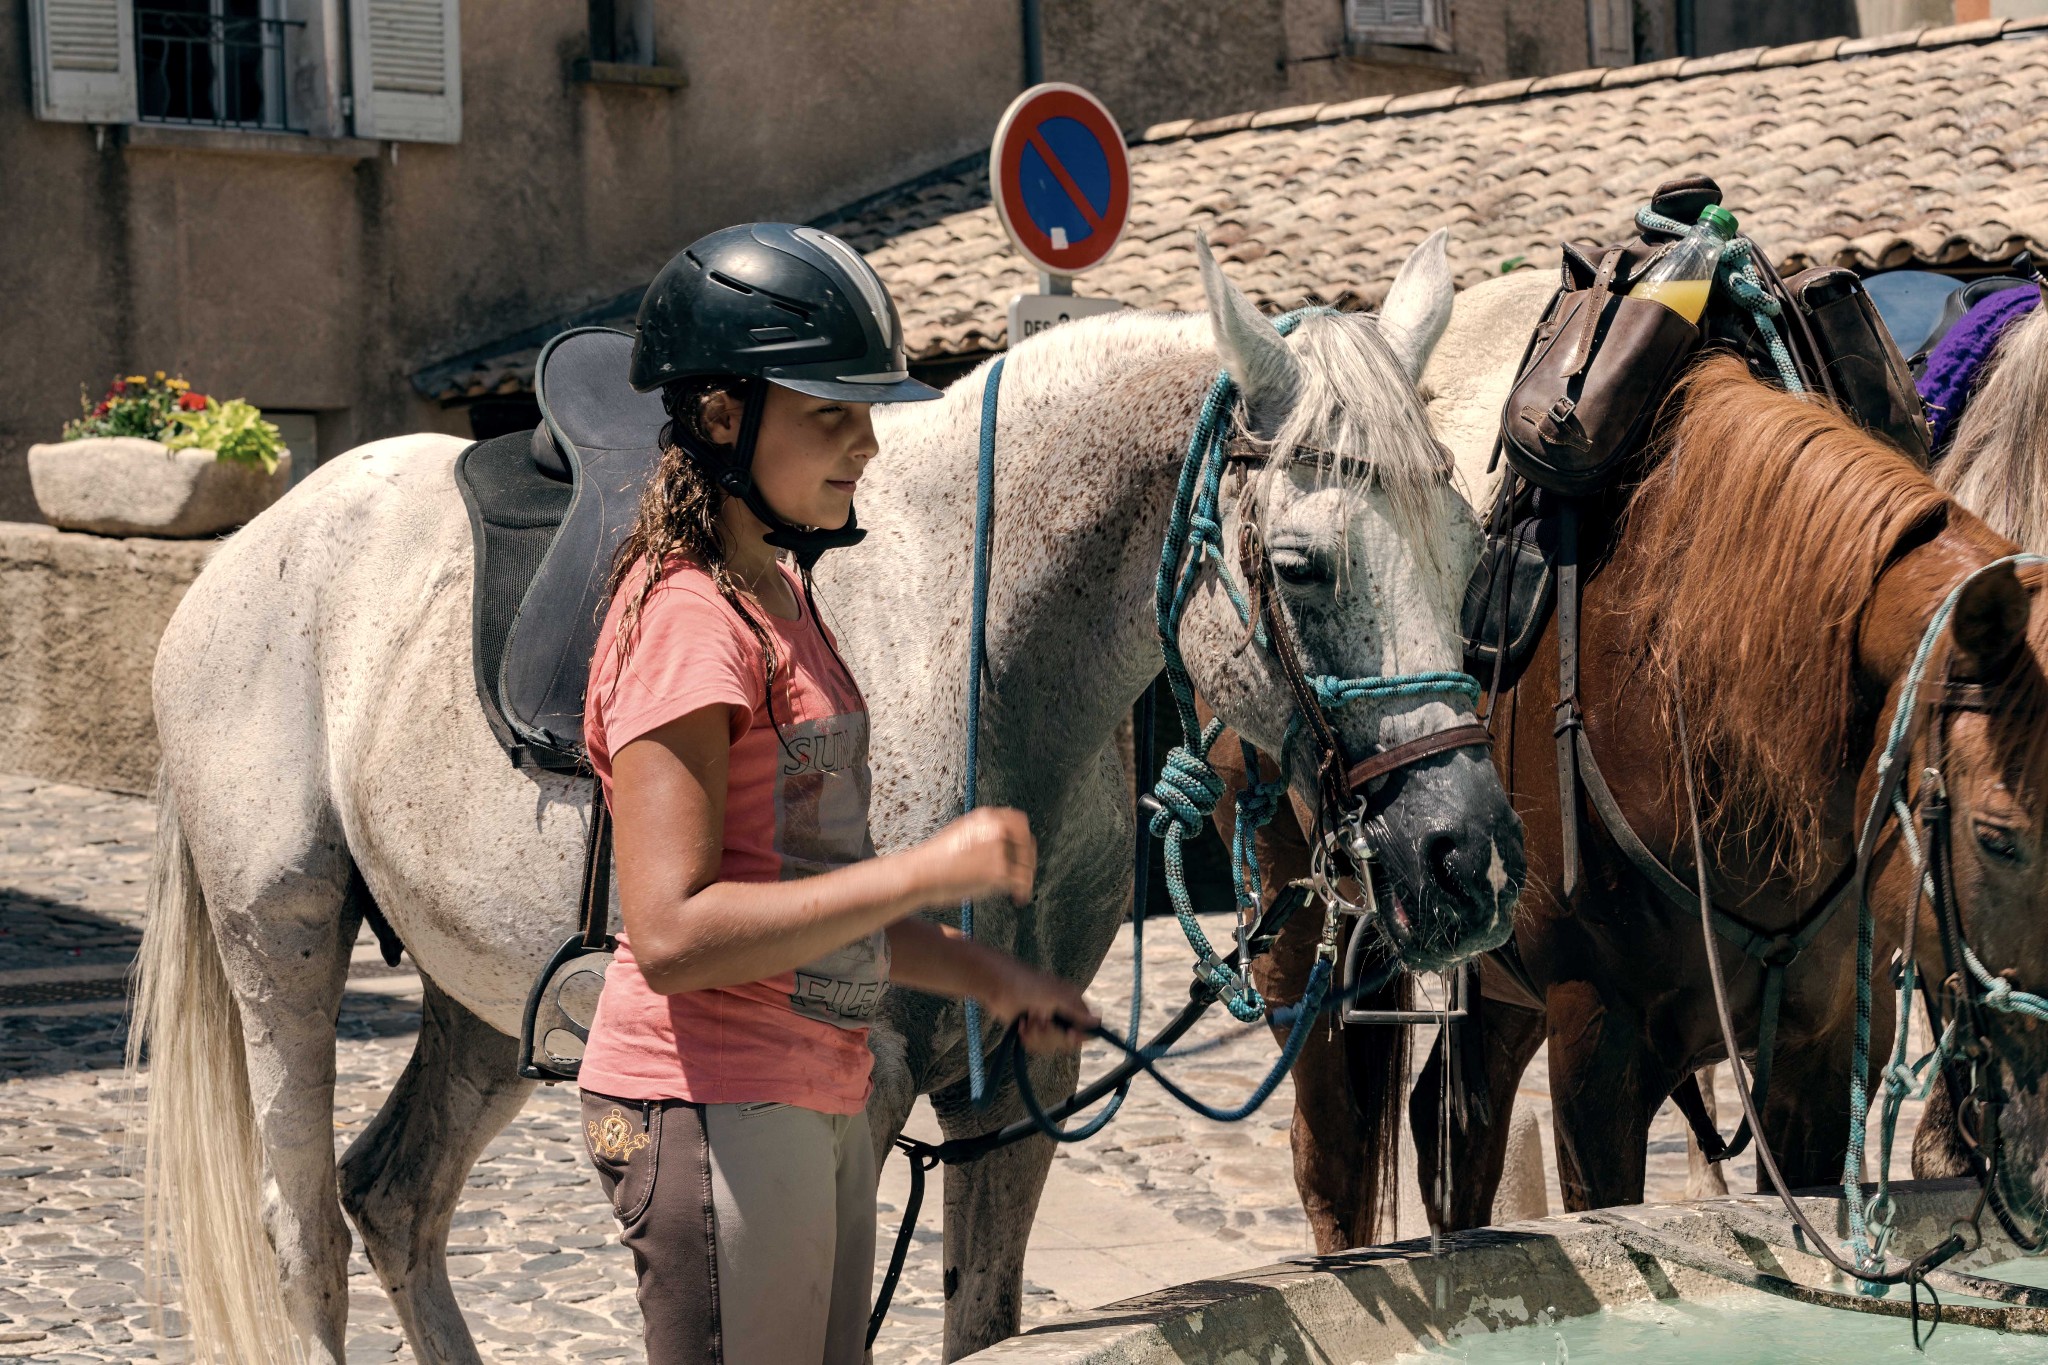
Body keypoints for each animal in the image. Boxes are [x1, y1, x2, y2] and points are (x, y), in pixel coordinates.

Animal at [132, 237, 1523, 1365]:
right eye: (1300, 564)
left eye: (1469, 543)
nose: (1464, 858)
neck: (976, 640)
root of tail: (247, 553)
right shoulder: (855, 1091)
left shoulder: (1020, 1078)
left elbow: (983, 1318)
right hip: (282, 944)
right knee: (304, 1226)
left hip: (484, 995)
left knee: (395, 1197)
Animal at [1220, 356, 2048, 1252]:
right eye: (1997, 837)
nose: (2037, 1159)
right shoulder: (1597, 1046)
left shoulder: (1824, 1055)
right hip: (1302, 928)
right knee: (1335, 1150)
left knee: (1454, 1122)